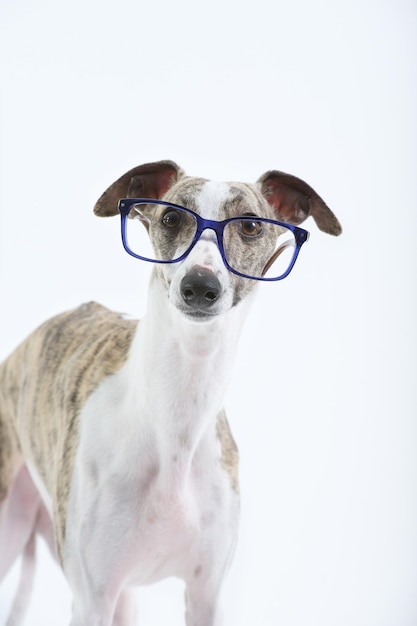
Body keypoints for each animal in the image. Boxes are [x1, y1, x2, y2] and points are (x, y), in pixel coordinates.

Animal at [0, 158, 340, 620]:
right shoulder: (93, 598)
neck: (177, 414)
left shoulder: (205, 593)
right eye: (171, 218)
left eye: (251, 224)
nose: (200, 286)